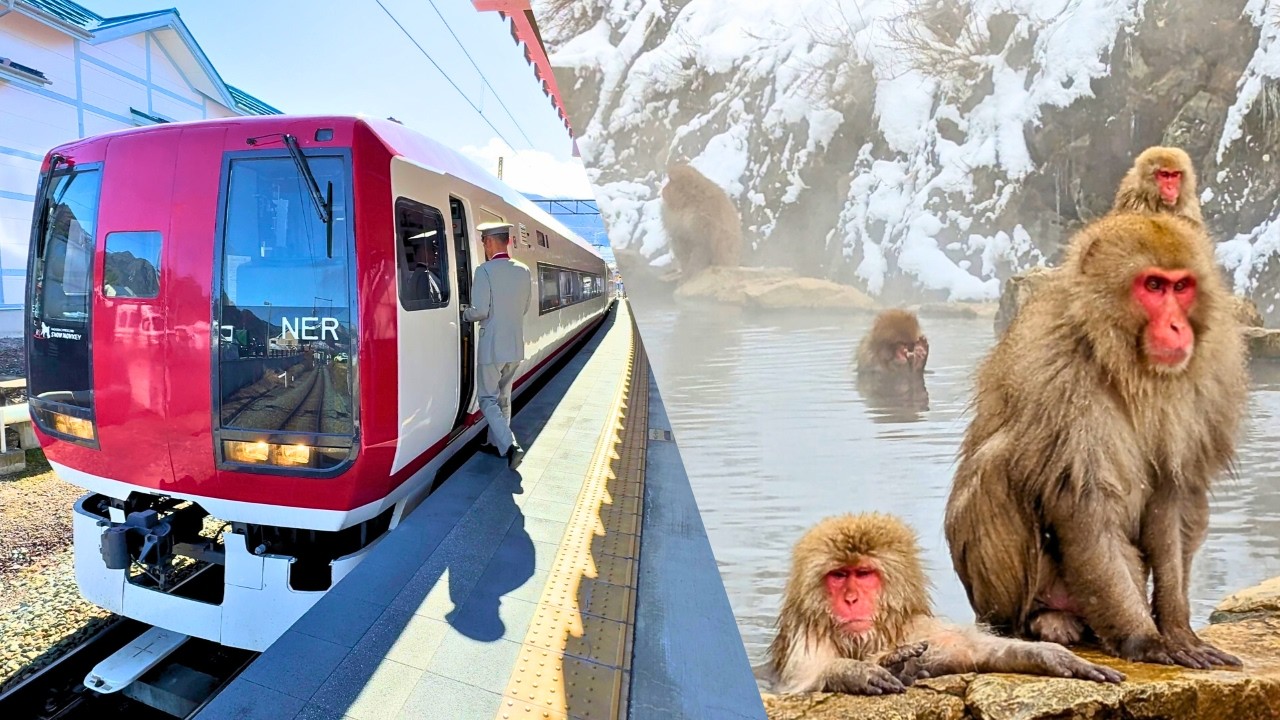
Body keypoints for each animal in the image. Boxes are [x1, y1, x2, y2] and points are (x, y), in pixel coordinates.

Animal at [767, 513, 1124, 695]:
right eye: (839, 575)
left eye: (863, 574)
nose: (851, 599)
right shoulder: (807, 635)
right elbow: (799, 684)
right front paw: (856, 671)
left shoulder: (916, 627)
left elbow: (973, 652)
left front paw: (1048, 656)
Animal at [944, 213, 1247, 670]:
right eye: (1153, 285)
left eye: (1181, 286)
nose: (1177, 326)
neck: (1122, 358)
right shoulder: (1061, 375)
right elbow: (1087, 501)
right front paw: (1145, 639)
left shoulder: (1206, 379)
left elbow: (1173, 495)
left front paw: (1178, 630)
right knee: (998, 463)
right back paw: (1036, 621)